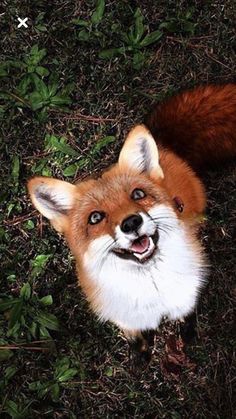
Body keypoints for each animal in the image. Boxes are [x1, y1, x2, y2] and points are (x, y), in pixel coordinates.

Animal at [28, 84, 236, 364]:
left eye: (137, 194)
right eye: (95, 217)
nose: (131, 222)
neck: (153, 289)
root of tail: (165, 146)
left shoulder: (185, 296)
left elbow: (186, 316)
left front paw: (187, 335)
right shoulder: (125, 316)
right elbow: (134, 336)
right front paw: (140, 355)